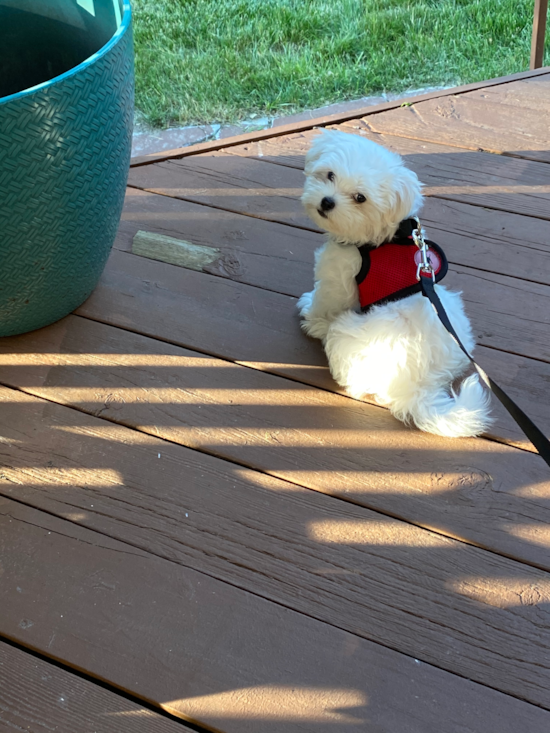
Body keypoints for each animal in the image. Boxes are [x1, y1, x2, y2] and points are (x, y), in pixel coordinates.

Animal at [300, 129, 494, 438]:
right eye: (329, 175)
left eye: (360, 198)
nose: (327, 202)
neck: (380, 236)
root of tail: (419, 388)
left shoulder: (337, 277)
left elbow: (324, 301)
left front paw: (311, 317)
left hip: (348, 334)